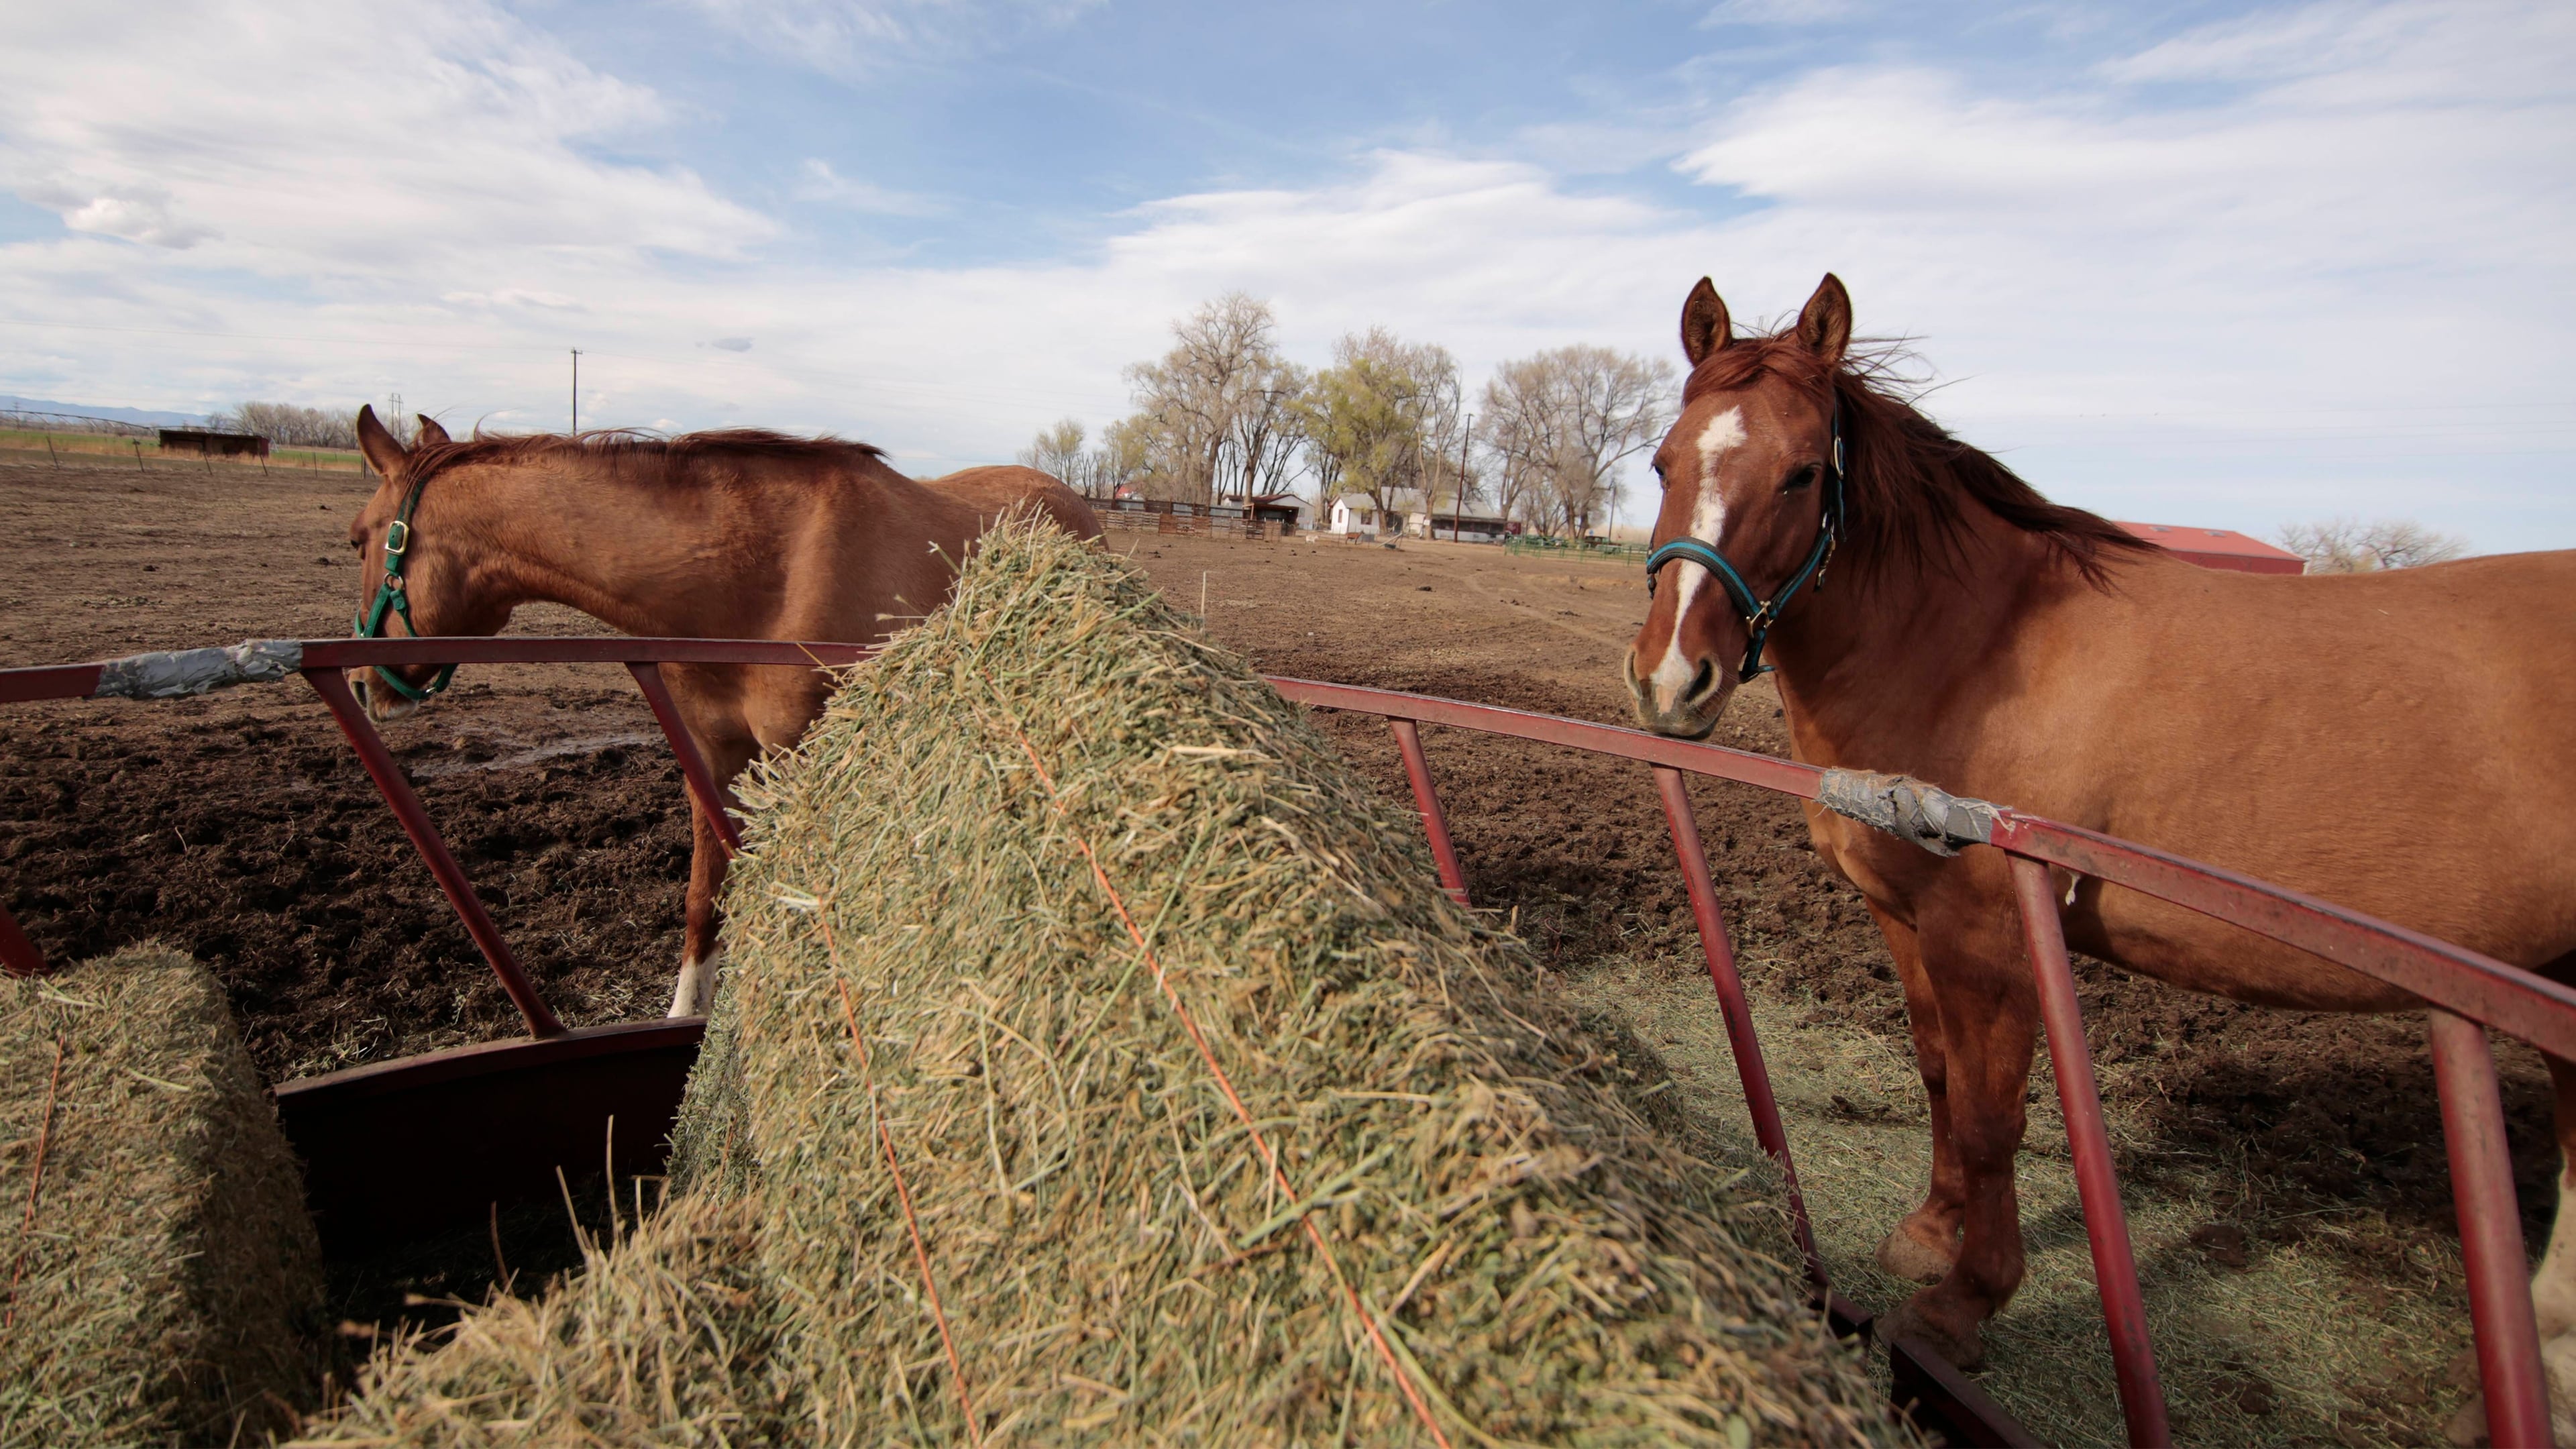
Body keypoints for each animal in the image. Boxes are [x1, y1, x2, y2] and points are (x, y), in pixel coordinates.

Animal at [339, 407, 1097, 1016]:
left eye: (359, 537)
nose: (359, 680)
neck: (758, 574)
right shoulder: (710, 755)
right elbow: (705, 898)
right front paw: (687, 1012)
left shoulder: (803, 763)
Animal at [1617, 270, 2576, 1423]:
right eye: (1664, 462)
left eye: (1804, 473)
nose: (1674, 681)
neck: (1979, 647)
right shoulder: (1907, 919)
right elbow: (1940, 1076)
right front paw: (1931, 1232)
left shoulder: (1991, 937)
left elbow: (1993, 1116)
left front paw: (1966, 1302)